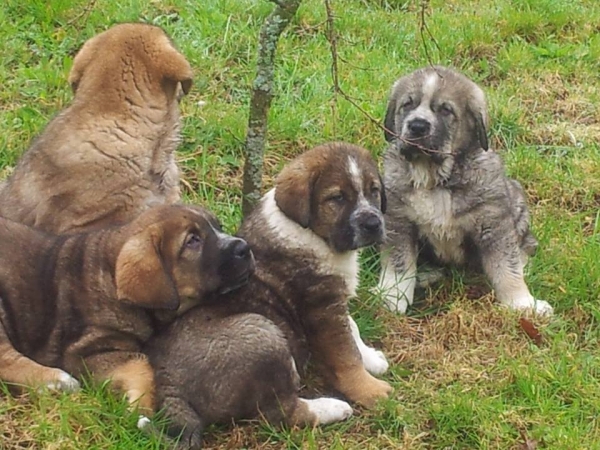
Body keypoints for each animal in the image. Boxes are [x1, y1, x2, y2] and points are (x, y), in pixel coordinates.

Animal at [0, 203, 254, 412]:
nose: (245, 247)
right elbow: (142, 363)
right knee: (7, 358)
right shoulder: (85, 351)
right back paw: (56, 381)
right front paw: (141, 407)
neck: (112, 280)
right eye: (192, 240)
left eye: (218, 227)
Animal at [142, 143, 392, 446]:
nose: (373, 224)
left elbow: (352, 329)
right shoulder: (322, 307)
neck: (310, 233)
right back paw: (332, 407)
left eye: (374, 190)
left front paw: (372, 359)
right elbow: (345, 355)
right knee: (283, 413)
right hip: (262, 333)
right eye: (337, 198)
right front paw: (372, 391)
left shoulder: (333, 301)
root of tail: (166, 381)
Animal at [378, 66, 552, 316]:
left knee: (525, 247)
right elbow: (398, 263)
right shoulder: (398, 220)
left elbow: (506, 268)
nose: (417, 126)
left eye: (446, 110)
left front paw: (522, 303)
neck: (436, 180)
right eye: (408, 104)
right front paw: (393, 296)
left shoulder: (493, 223)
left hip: (517, 204)